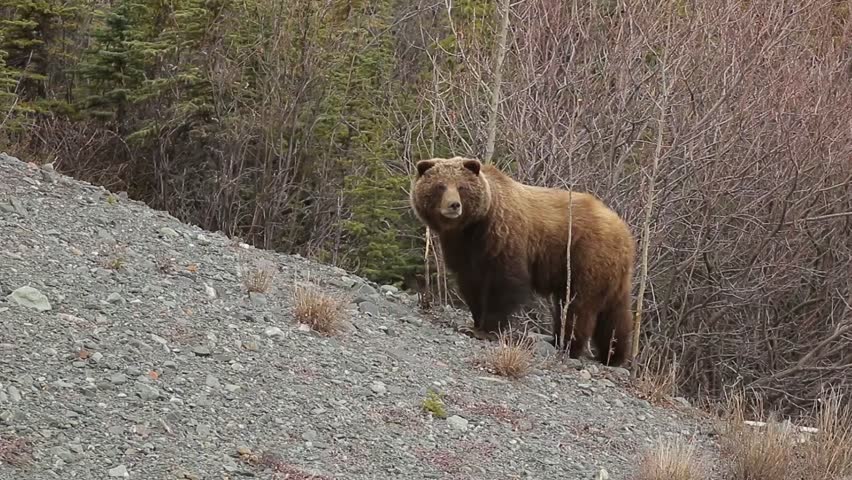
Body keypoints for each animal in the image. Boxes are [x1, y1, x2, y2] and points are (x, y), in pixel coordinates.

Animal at [409, 156, 636, 366]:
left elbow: (505, 283)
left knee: (578, 305)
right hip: (610, 272)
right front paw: (475, 322)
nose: (454, 205)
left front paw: (488, 328)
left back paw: (568, 345)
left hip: (586, 257)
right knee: (615, 313)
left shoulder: (503, 236)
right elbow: (471, 283)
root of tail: (623, 229)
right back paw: (612, 354)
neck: (472, 227)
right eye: (440, 185)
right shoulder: (462, 249)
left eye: (461, 187)